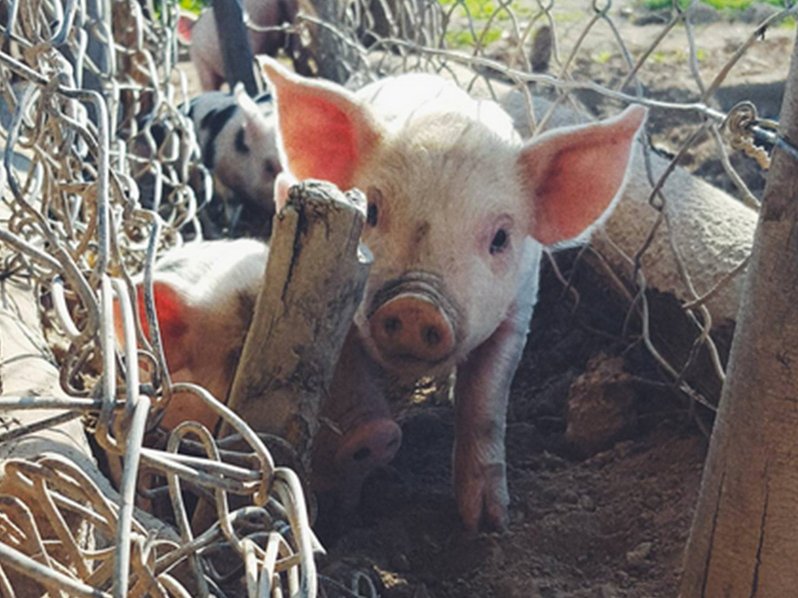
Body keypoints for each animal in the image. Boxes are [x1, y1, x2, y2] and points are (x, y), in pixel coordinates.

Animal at [260, 57, 647, 531]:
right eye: (372, 211)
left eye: (500, 237)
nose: (415, 304)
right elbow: (350, 372)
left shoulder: (519, 311)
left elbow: (485, 402)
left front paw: (487, 522)